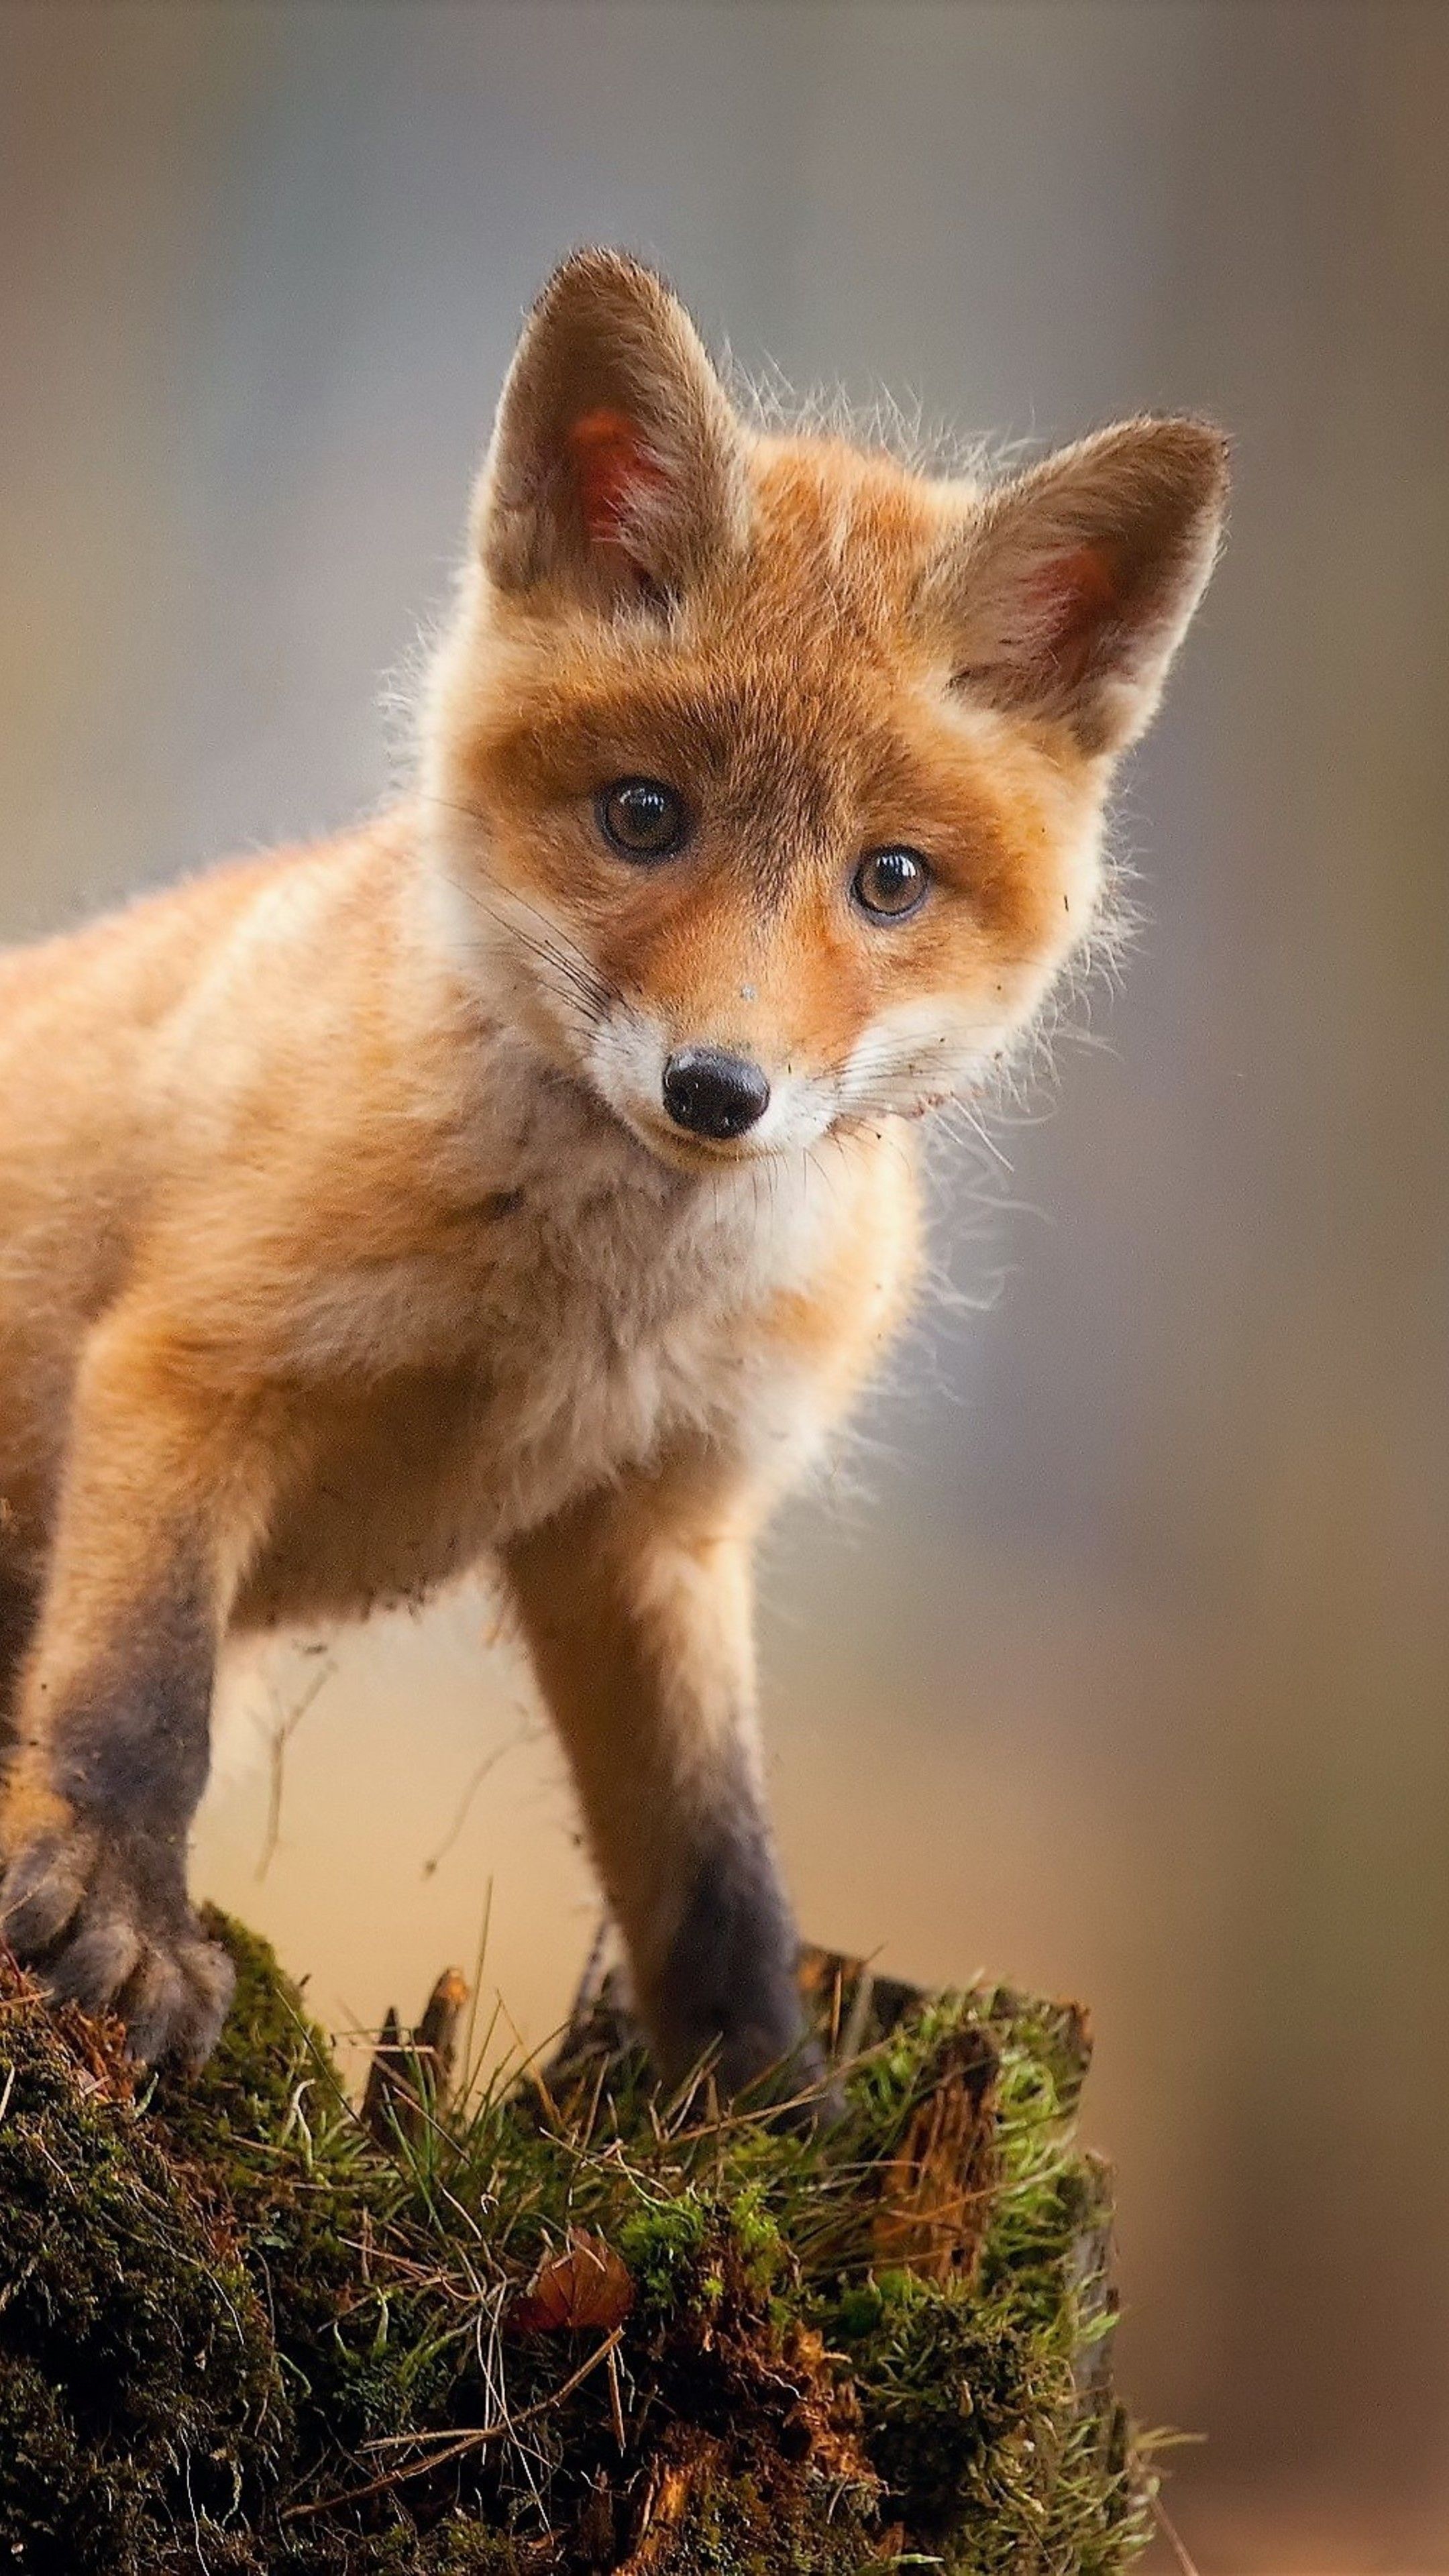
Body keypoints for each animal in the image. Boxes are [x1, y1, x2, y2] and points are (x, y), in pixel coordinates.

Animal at [0, 250, 1225, 2089]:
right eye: (644, 816)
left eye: (888, 881)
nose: (718, 1091)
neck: (586, 1314)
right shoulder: (192, 1364)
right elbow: (139, 1697)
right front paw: (115, 1911)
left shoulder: (654, 1527)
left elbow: (716, 1863)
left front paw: (768, 2095)